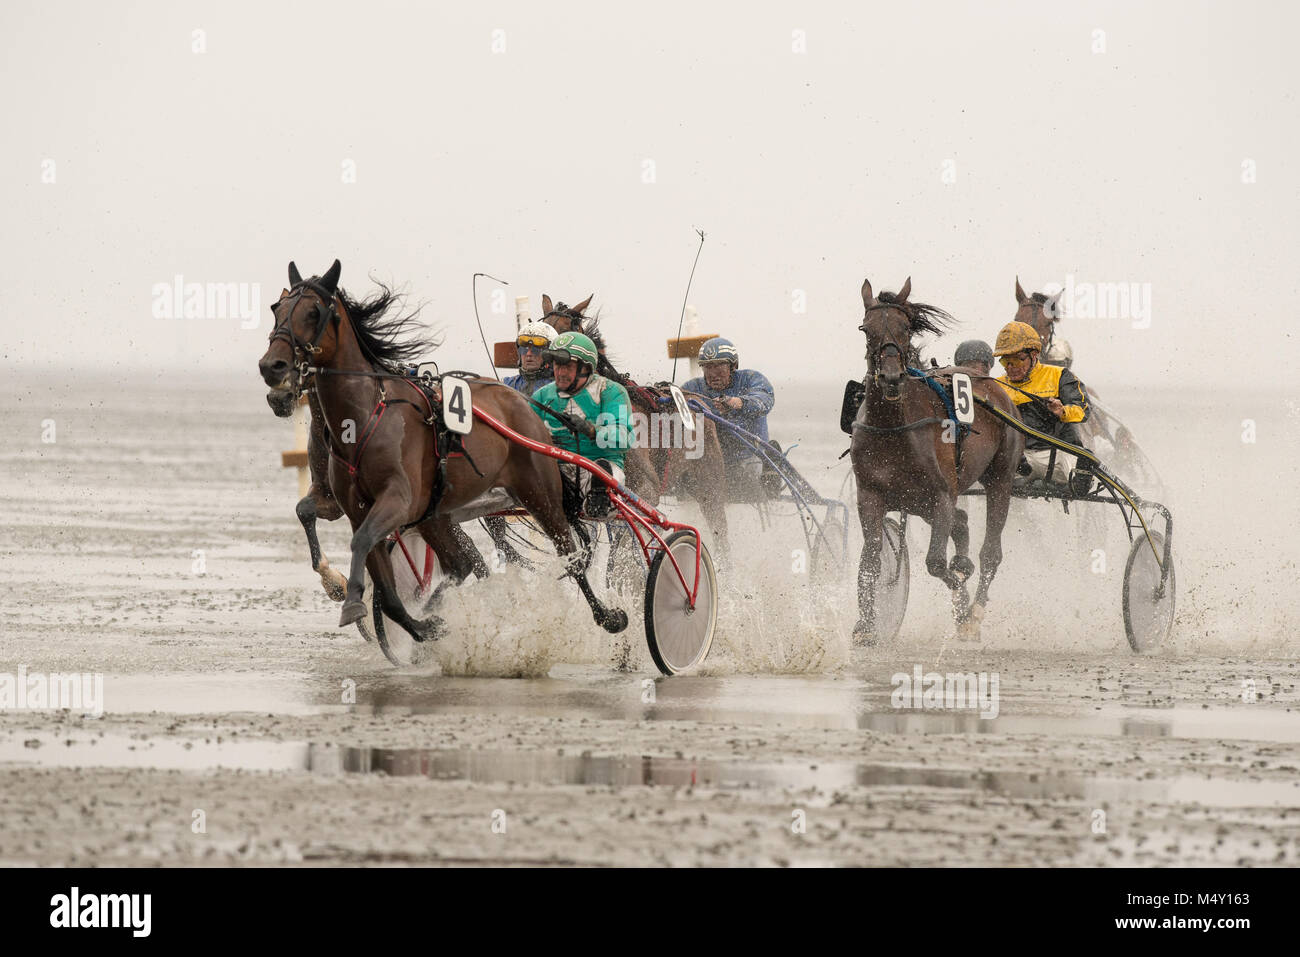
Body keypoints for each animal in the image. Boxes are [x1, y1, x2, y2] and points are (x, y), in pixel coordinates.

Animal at [257, 263, 629, 642]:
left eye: (313, 312)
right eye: (276, 309)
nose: (272, 368)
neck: (365, 417)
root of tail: (523, 402)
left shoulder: (397, 500)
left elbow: (360, 543)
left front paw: (351, 599)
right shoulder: (355, 508)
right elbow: (383, 585)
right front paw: (424, 625)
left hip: (539, 493)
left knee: (570, 555)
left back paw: (608, 616)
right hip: (436, 513)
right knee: (461, 564)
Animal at [852, 280, 1024, 647]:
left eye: (905, 328)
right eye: (866, 329)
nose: (891, 377)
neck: (893, 428)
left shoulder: (942, 495)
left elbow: (934, 562)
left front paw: (962, 601)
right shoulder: (869, 496)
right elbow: (871, 559)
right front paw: (866, 624)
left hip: (999, 479)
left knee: (990, 553)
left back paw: (973, 612)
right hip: (916, 502)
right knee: (961, 523)